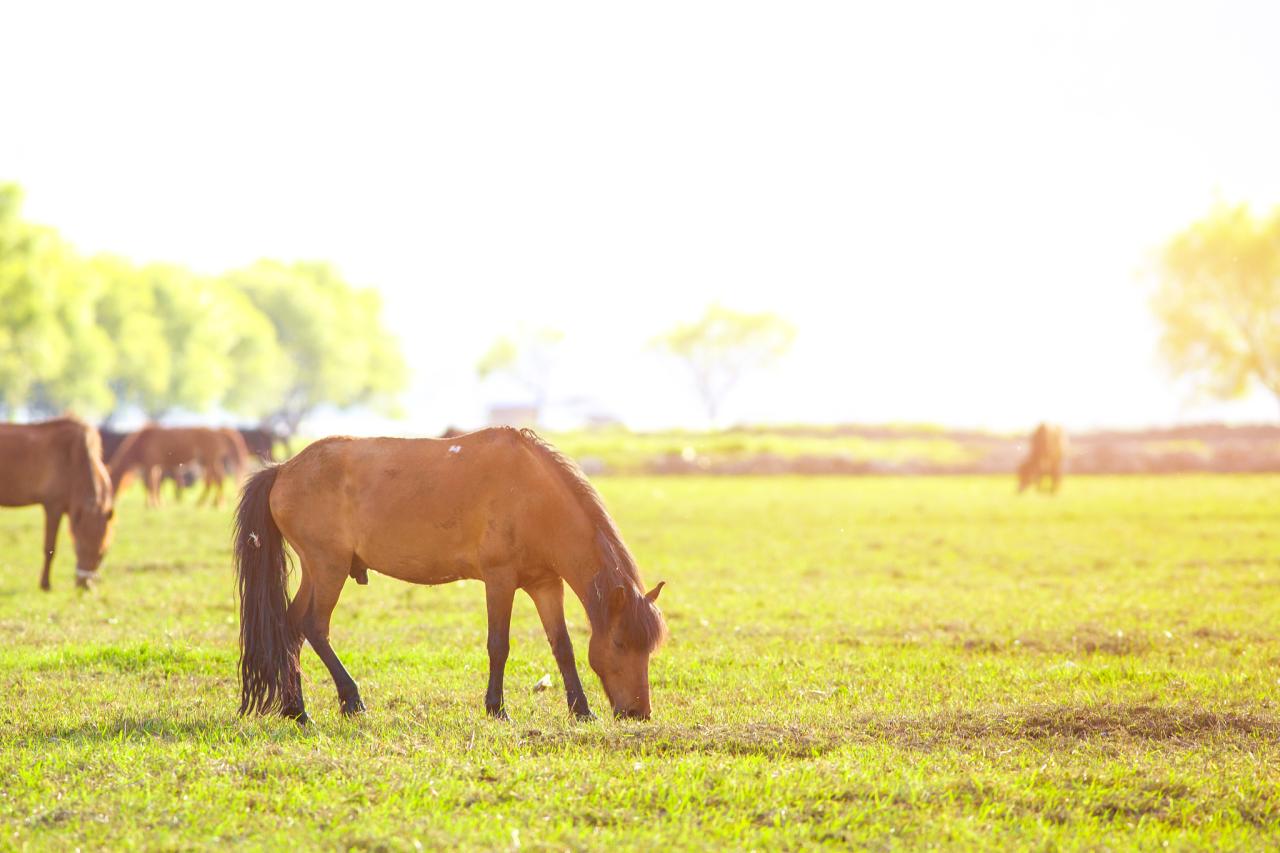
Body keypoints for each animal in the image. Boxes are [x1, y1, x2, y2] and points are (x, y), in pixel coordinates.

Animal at [0, 417, 116, 589]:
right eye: (78, 547)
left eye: (102, 553)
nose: (84, 585)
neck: (74, 458)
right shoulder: (53, 507)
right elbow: (50, 548)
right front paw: (45, 584)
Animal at [108, 425, 248, 504]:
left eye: (112, 481)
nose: (113, 500)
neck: (143, 441)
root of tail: (218, 432)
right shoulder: (156, 467)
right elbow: (155, 484)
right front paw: (158, 503)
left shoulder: (150, 465)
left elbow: (150, 484)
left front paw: (151, 505)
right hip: (208, 462)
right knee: (214, 480)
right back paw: (210, 503)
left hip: (210, 461)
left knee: (217, 479)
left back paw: (212, 504)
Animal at [235, 427, 670, 722]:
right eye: (619, 643)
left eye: (648, 649)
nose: (639, 713)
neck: (534, 495)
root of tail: (283, 469)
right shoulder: (500, 580)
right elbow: (499, 645)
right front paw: (497, 708)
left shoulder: (546, 584)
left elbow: (561, 646)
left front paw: (581, 710)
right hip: (329, 568)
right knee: (314, 626)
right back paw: (350, 699)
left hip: (318, 570)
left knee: (291, 627)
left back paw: (297, 709)